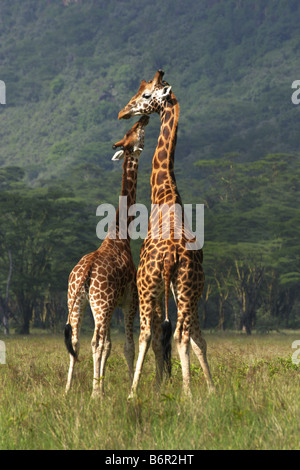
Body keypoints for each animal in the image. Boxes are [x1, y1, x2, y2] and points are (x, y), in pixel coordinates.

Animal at [65, 114, 150, 396]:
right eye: (134, 131)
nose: (144, 118)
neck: (120, 233)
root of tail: (85, 272)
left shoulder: (112, 305)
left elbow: (110, 345)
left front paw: (103, 383)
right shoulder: (129, 300)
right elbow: (126, 346)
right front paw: (128, 388)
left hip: (77, 301)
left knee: (76, 341)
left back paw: (68, 390)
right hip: (101, 303)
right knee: (94, 342)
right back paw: (95, 393)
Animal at [118, 70, 214, 398]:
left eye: (147, 95)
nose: (123, 112)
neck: (166, 193)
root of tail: (174, 253)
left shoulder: (152, 285)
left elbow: (155, 333)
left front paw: (151, 387)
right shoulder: (176, 288)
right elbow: (191, 337)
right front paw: (207, 388)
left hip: (148, 287)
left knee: (149, 332)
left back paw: (140, 392)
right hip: (189, 286)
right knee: (188, 334)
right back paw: (197, 391)